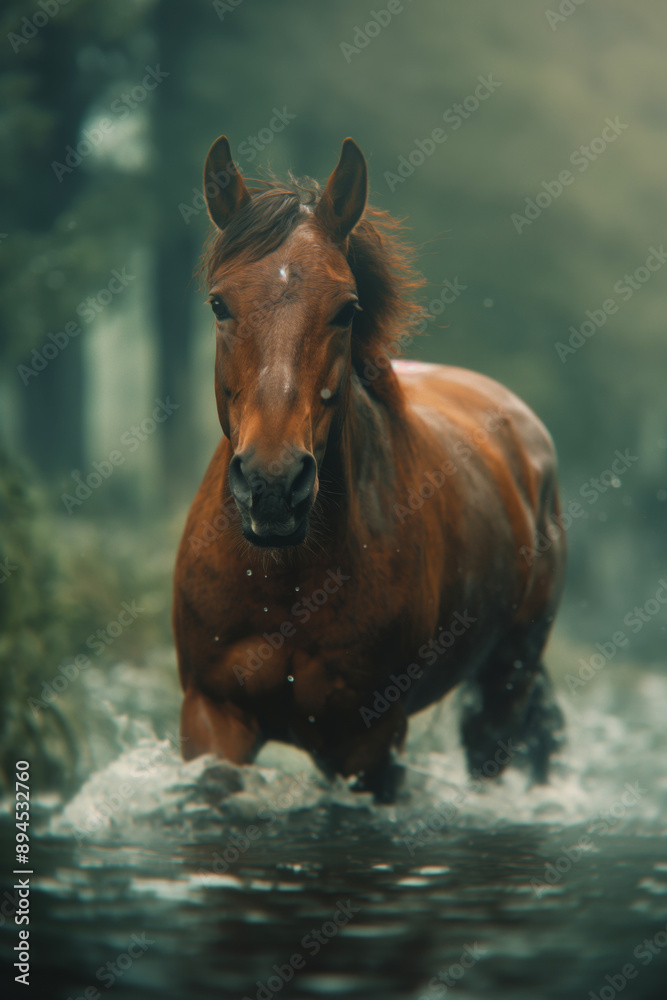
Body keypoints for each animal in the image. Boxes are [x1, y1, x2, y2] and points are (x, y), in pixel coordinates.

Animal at [172, 135, 566, 802]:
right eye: (219, 304)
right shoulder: (213, 715)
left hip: (504, 686)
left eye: (345, 309)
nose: (273, 485)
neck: (287, 584)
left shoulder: (367, 742)